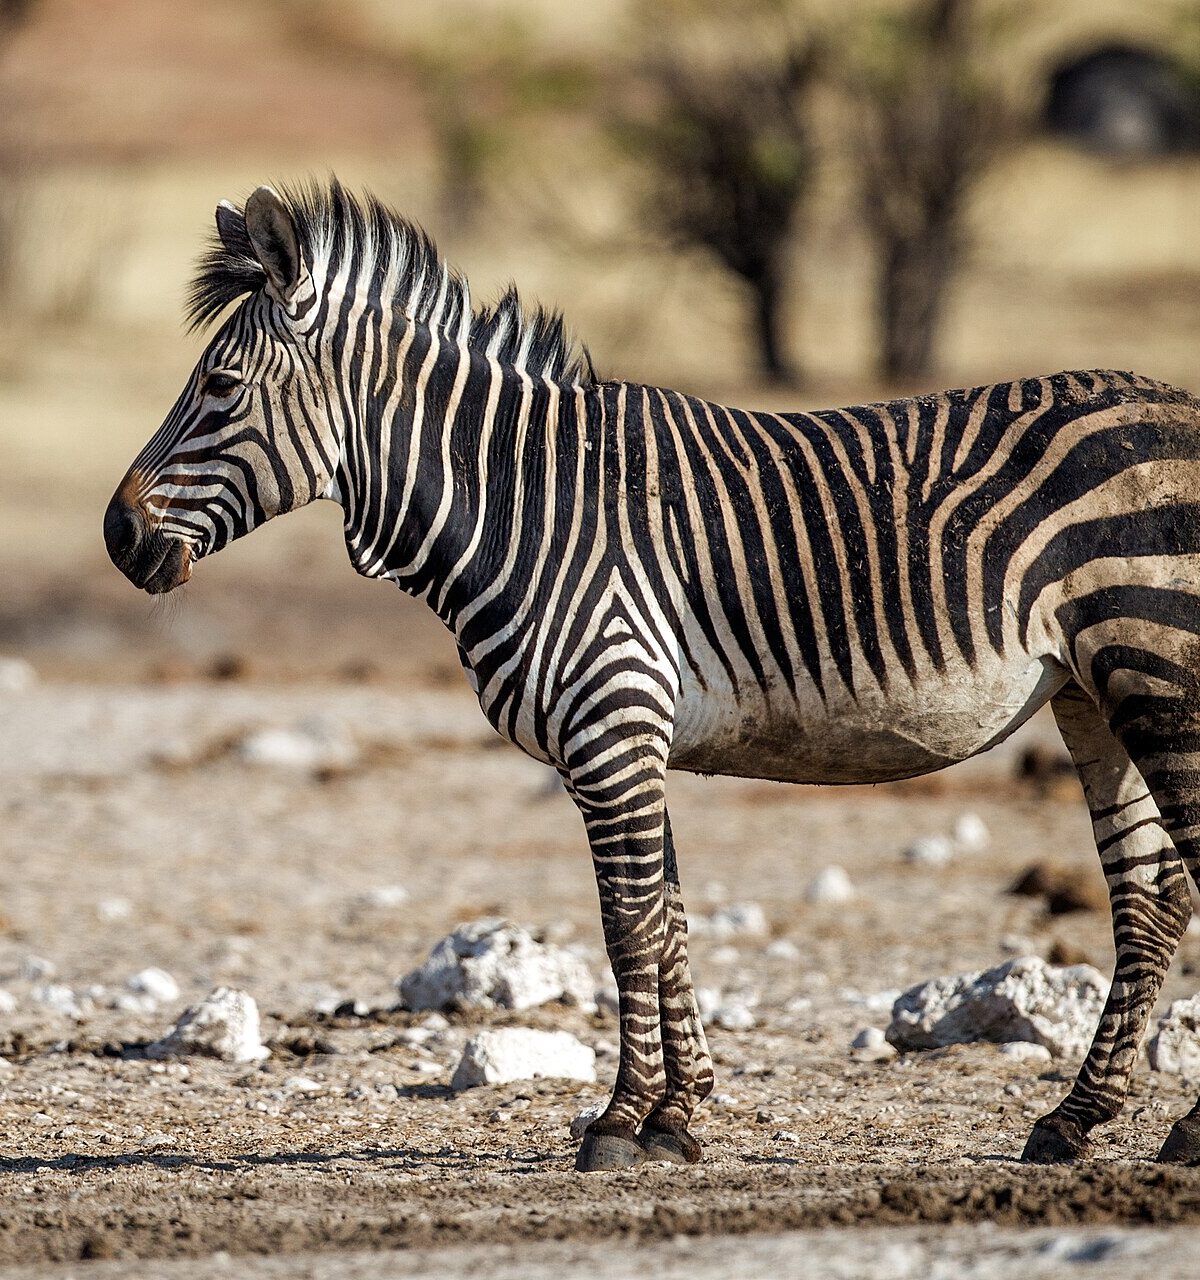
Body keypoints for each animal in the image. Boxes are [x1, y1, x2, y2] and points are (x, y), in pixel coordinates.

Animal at [105, 179, 1200, 1172]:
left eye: (220, 388)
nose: (118, 538)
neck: (526, 503)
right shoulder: (627, 738)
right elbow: (668, 924)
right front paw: (677, 1117)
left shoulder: (611, 724)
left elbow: (628, 928)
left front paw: (620, 1122)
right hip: (1091, 691)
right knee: (1148, 894)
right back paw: (1073, 1120)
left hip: (1155, 667)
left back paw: (1178, 1132)